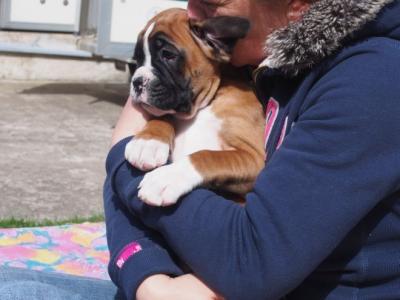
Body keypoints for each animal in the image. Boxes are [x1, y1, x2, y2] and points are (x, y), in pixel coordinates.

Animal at [125, 8, 266, 206]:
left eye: (168, 55)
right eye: (137, 59)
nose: (137, 81)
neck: (202, 107)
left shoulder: (254, 157)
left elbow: (207, 156)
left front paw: (165, 179)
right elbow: (162, 116)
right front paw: (148, 142)